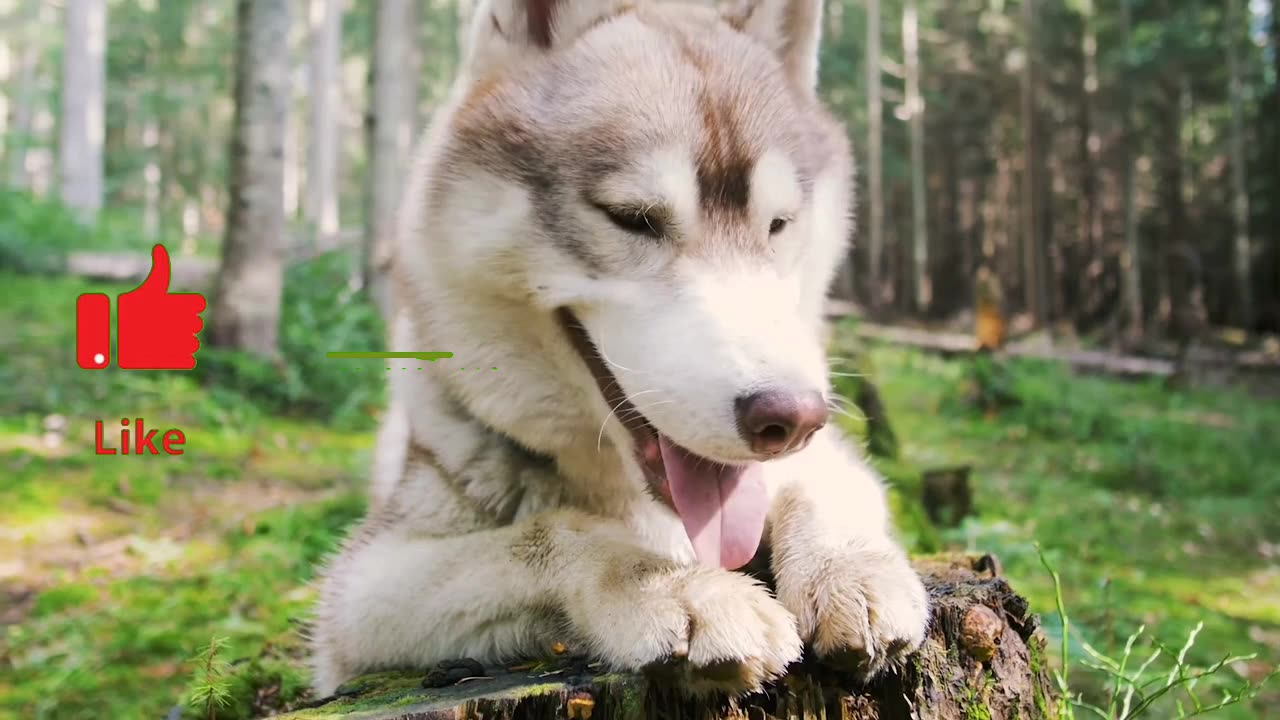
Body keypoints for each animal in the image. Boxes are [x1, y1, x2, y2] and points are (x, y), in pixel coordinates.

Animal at [309, 0, 931, 696]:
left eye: (779, 225)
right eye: (633, 218)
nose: (790, 418)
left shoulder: (825, 458)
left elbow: (823, 489)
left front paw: (851, 570)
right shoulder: (359, 600)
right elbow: (554, 535)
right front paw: (681, 591)